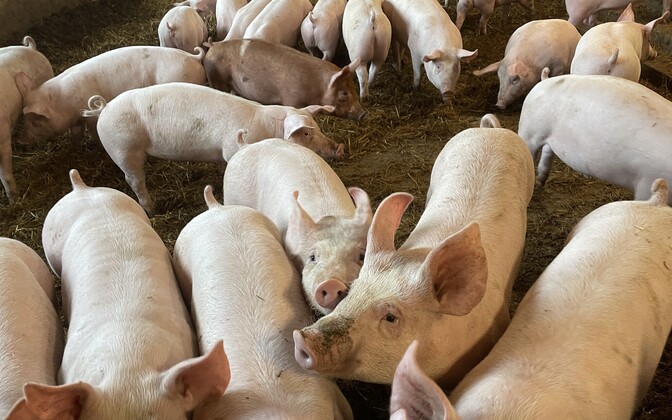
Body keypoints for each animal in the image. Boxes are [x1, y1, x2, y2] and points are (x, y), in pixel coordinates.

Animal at [14, 45, 207, 146]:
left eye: (36, 121)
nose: (20, 141)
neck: (63, 103)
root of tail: (193, 57)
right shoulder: (76, 120)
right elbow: (77, 133)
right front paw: (75, 147)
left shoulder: (90, 116)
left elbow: (93, 130)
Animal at [81, 82, 344, 216]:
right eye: (306, 133)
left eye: (318, 127)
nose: (338, 147)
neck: (267, 126)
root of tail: (103, 108)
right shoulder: (231, 147)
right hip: (124, 149)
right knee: (134, 180)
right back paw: (152, 210)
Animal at [205, 38, 366, 120]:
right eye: (344, 93)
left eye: (354, 88)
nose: (364, 114)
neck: (317, 86)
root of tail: (213, 46)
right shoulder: (292, 99)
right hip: (215, 77)